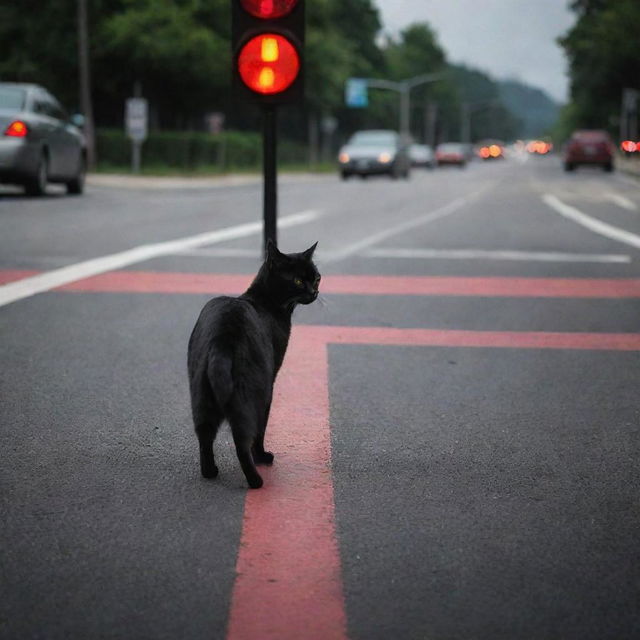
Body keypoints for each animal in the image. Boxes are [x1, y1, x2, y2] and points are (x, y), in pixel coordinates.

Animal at [188, 242, 322, 488]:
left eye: (316, 278)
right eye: (298, 281)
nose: (313, 292)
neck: (264, 302)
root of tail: (223, 339)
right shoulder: (270, 384)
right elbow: (262, 428)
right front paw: (262, 456)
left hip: (200, 396)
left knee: (204, 435)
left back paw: (210, 471)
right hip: (251, 395)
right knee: (243, 441)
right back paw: (255, 478)